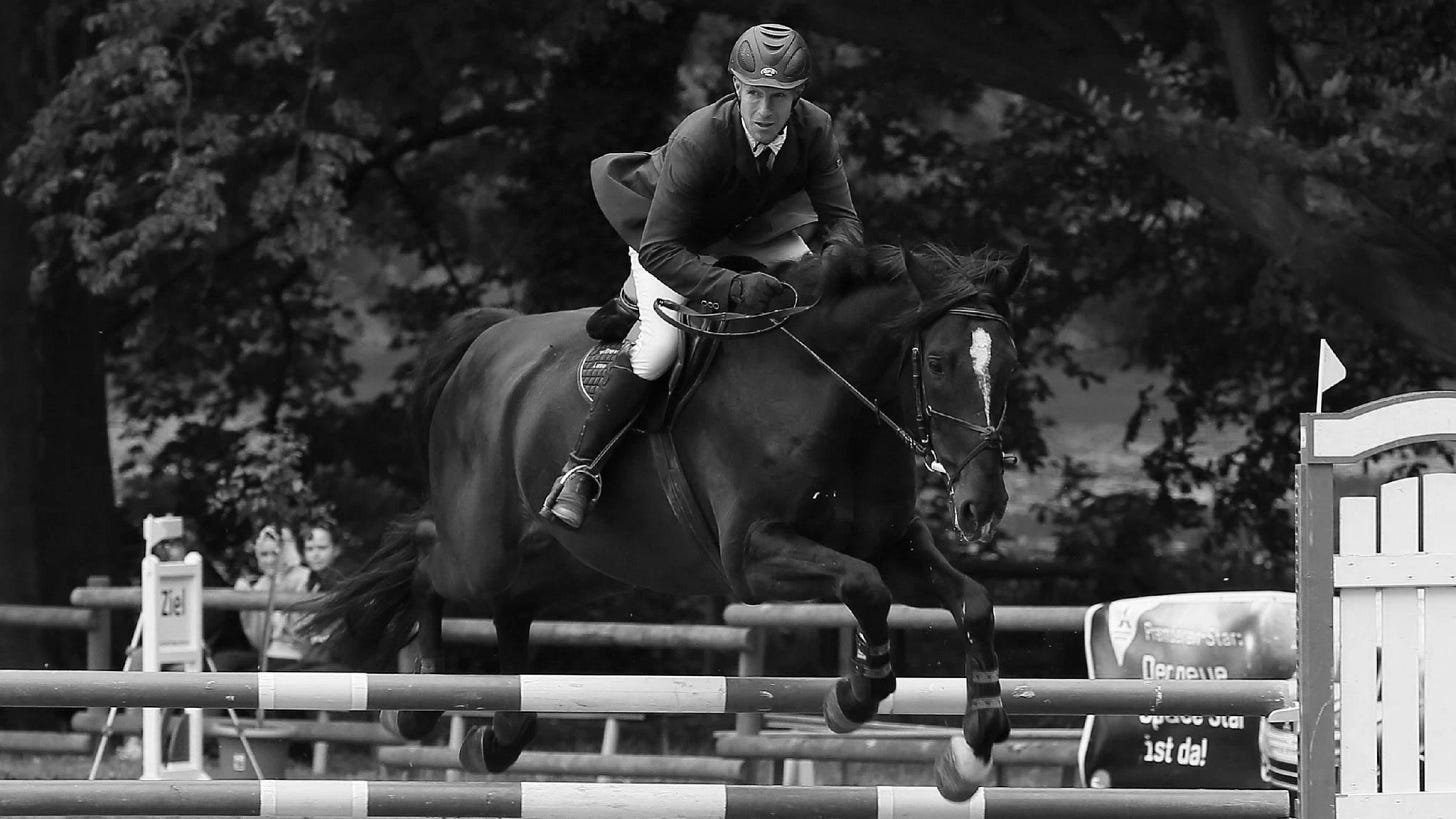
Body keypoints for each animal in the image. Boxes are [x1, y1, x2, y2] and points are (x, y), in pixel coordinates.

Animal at [313, 240, 1030, 798]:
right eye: (936, 362)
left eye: (1011, 364)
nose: (982, 505)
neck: (828, 391)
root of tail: (487, 340)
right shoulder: (752, 555)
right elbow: (865, 587)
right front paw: (852, 697)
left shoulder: (893, 544)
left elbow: (972, 601)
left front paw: (971, 750)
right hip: (481, 550)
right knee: (425, 559)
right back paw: (418, 700)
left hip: (570, 561)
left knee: (510, 608)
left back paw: (500, 735)